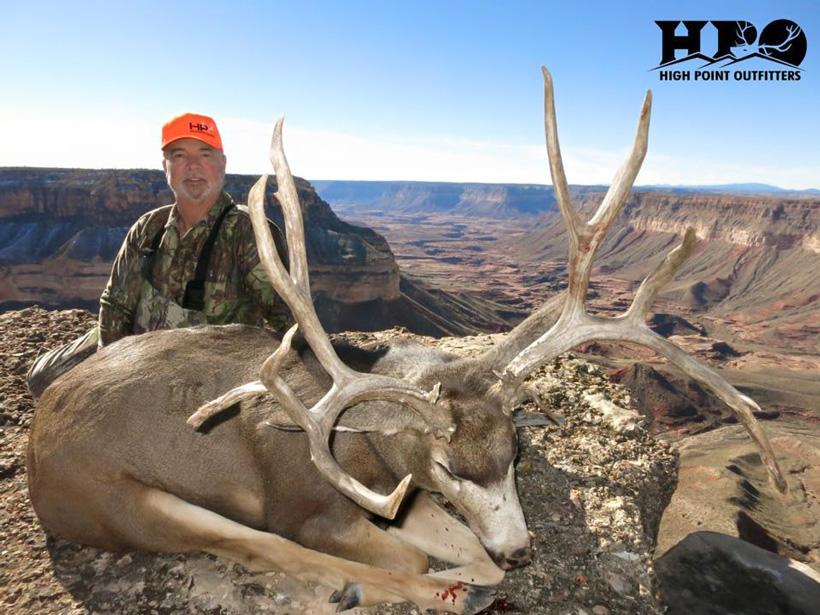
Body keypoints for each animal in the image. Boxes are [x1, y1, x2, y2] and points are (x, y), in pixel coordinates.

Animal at [26, 66, 787, 614]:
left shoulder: (402, 496)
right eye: (449, 464)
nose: (521, 552)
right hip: (128, 503)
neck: (365, 445)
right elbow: (390, 551)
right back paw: (389, 590)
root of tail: (36, 445)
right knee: (262, 547)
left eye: (517, 451)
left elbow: (462, 546)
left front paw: (479, 566)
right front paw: (440, 578)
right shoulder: (308, 504)